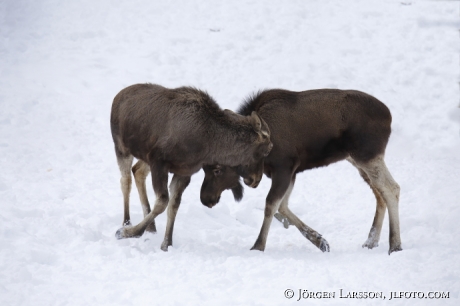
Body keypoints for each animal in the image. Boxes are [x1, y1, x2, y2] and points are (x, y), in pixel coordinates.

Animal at [109, 83, 272, 251]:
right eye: (268, 149)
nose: (255, 179)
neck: (208, 141)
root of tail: (117, 96)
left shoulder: (183, 172)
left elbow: (173, 205)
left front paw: (167, 244)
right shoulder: (158, 162)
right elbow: (162, 202)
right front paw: (126, 232)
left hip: (143, 156)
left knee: (138, 171)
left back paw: (151, 227)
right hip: (122, 148)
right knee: (125, 180)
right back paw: (126, 222)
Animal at [199, 89, 400, 256]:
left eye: (218, 169)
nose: (205, 199)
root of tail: (389, 116)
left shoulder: (285, 167)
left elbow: (271, 205)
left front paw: (258, 246)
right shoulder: (292, 172)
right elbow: (282, 207)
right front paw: (321, 241)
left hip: (367, 155)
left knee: (392, 188)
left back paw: (395, 245)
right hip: (357, 161)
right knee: (379, 193)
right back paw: (371, 242)